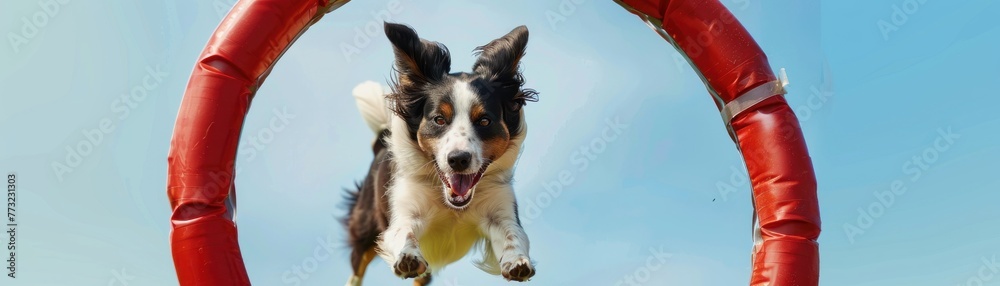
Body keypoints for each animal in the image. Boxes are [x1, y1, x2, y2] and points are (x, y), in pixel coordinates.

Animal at [342, 22, 536, 286]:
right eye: (439, 119)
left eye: (484, 120)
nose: (458, 159)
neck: (451, 204)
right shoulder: (403, 208)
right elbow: (404, 231)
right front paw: (407, 257)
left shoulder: (500, 209)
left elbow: (512, 234)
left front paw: (517, 262)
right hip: (365, 226)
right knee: (357, 266)